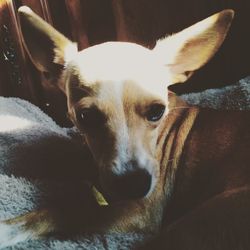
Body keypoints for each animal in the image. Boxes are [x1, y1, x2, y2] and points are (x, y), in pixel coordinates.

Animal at [0, 6, 250, 250]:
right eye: (85, 116)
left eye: (157, 111)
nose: (133, 185)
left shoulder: (137, 210)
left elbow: (68, 211)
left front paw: (8, 228)